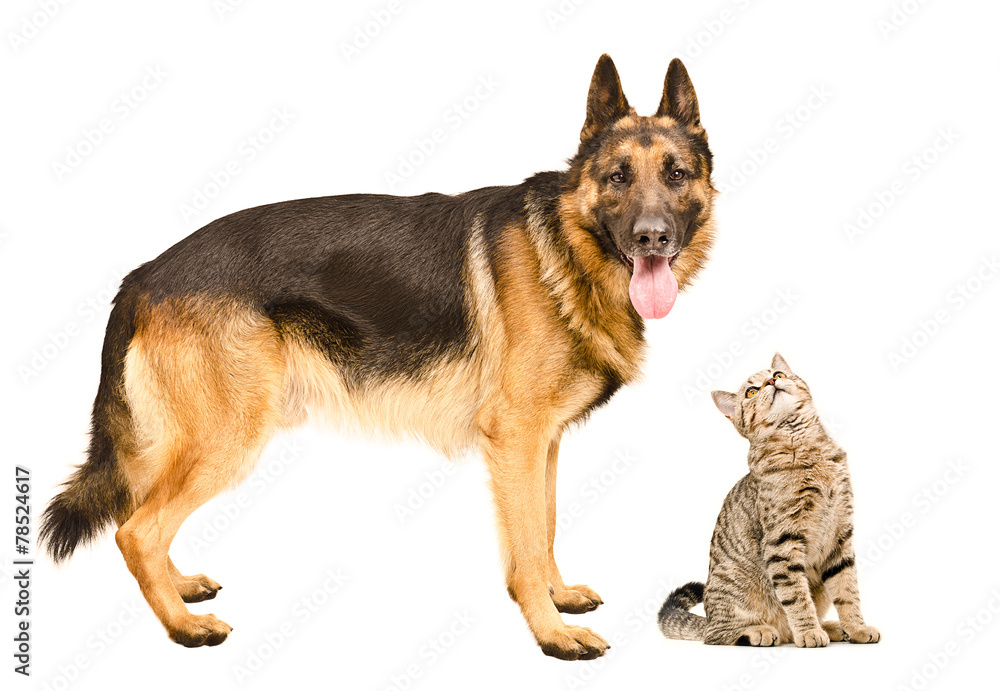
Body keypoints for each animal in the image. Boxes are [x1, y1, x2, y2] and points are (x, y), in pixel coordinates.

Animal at [41, 54, 716, 660]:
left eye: (677, 174)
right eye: (619, 177)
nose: (652, 237)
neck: (568, 251)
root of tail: (145, 272)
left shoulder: (541, 443)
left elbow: (543, 528)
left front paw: (559, 597)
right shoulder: (516, 438)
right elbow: (525, 546)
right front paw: (552, 634)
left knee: (146, 518)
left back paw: (179, 590)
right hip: (226, 438)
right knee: (136, 530)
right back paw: (184, 629)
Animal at [658, 353, 880, 647]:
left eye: (778, 374)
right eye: (751, 392)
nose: (771, 381)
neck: (805, 447)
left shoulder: (840, 536)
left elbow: (848, 592)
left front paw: (856, 627)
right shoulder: (782, 541)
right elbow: (797, 598)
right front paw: (808, 632)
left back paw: (832, 628)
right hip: (732, 588)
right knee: (717, 634)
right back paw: (760, 631)